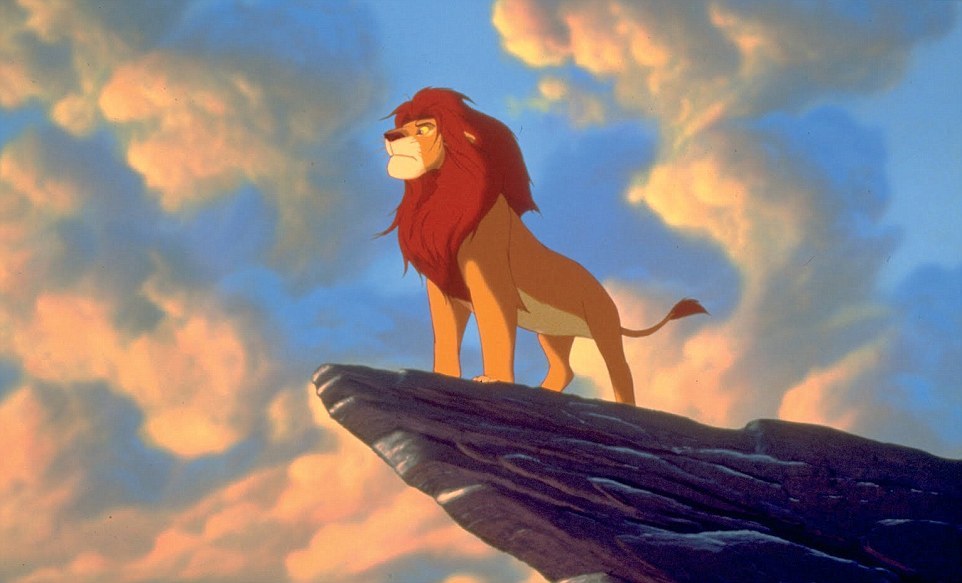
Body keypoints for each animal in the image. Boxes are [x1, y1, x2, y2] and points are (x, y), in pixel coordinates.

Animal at [381, 87, 706, 405]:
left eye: (424, 128)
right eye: (403, 124)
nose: (390, 135)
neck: (438, 195)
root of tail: (603, 291)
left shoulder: (492, 280)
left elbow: (495, 329)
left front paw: (492, 378)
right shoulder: (445, 288)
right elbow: (445, 336)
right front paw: (443, 375)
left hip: (603, 327)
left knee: (621, 370)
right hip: (553, 334)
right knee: (565, 370)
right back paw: (544, 391)